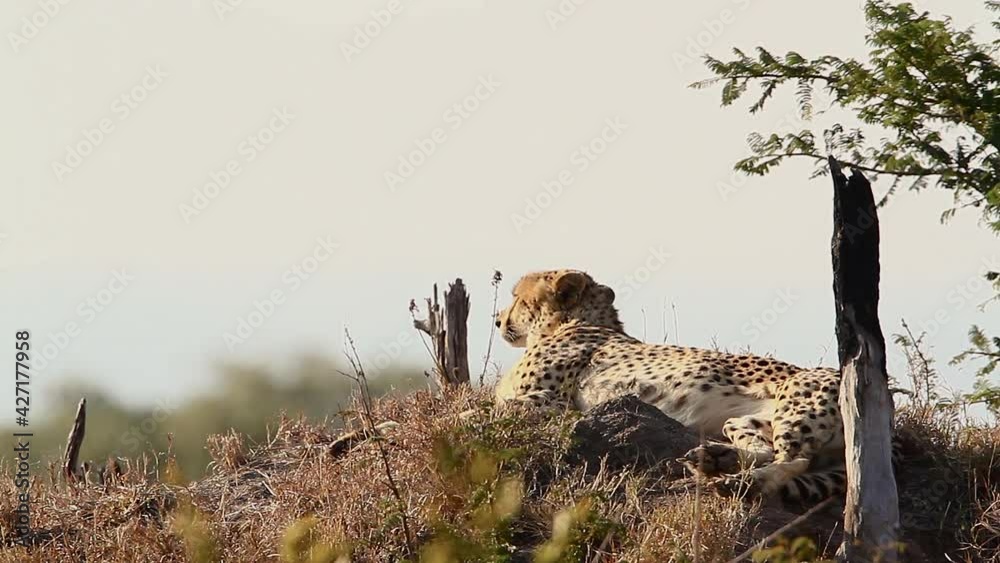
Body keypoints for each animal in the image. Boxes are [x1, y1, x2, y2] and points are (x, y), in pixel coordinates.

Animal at [492, 268, 852, 502]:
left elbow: (497, 404)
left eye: (517, 298)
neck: (571, 322)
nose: (497, 320)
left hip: (796, 401)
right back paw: (715, 459)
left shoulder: (553, 400)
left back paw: (742, 484)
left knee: (794, 461)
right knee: (767, 451)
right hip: (744, 420)